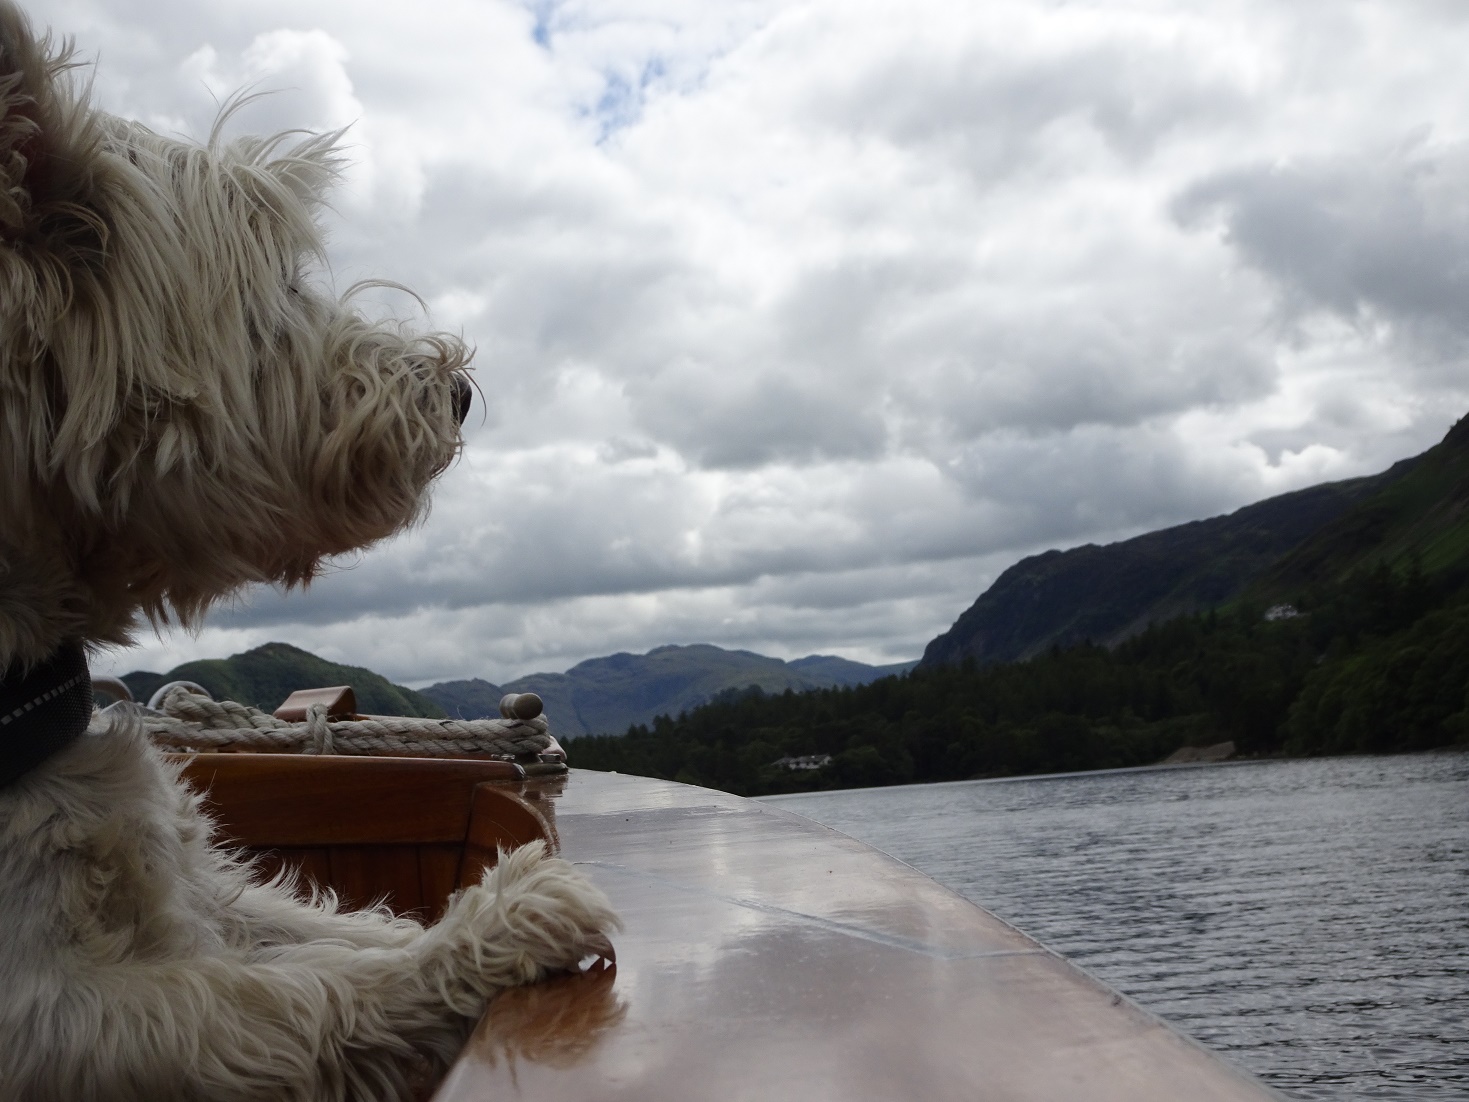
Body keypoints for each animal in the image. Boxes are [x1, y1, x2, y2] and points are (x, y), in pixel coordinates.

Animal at [0, 8, 616, 1102]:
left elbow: (332, 930)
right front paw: (507, 920)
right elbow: (298, 997)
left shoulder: (200, 895)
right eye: (277, 279)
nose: (456, 388)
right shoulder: (62, 1013)